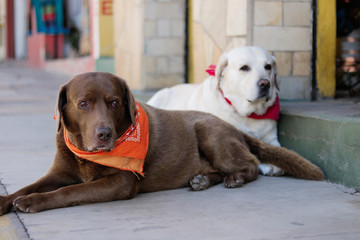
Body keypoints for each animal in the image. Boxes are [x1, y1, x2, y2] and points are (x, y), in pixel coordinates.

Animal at [0, 72, 322, 215]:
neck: (85, 155)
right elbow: (30, 185)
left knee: (251, 165)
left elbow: (70, 191)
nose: (104, 134)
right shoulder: (57, 173)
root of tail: (231, 125)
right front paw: (7, 200)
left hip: (209, 133)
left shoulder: (121, 183)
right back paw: (201, 180)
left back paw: (234, 179)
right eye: (83, 104)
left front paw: (32, 202)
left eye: (114, 102)